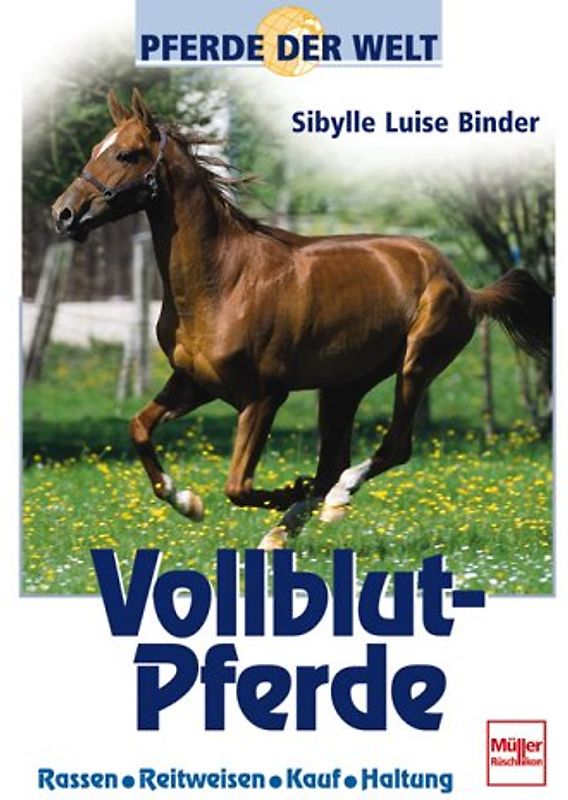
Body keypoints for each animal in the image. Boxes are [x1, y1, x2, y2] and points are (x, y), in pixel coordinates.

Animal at [52, 89, 552, 550]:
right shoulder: (193, 383)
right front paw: (188, 502)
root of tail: (466, 287)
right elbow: (139, 429)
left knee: (390, 448)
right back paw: (288, 528)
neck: (222, 280)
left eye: (125, 154)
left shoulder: (264, 397)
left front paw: (280, 493)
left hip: (416, 365)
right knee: (333, 462)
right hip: (344, 387)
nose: (64, 213)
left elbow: (238, 487)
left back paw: (329, 502)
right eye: (95, 147)